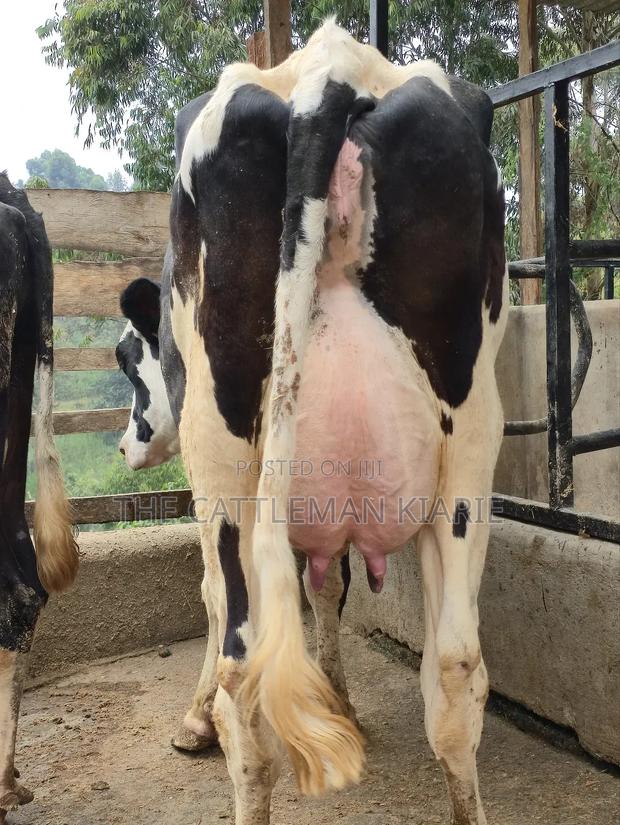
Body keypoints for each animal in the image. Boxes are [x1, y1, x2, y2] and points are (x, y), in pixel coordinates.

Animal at [119, 19, 507, 824]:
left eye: (127, 359)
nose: (122, 443)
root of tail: (330, 68)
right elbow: (325, 587)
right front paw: (342, 700)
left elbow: (216, 603)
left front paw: (193, 723)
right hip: (470, 439)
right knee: (455, 664)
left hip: (223, 450)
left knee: (240, 669)